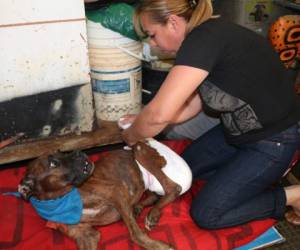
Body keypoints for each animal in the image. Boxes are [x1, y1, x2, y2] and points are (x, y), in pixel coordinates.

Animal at [17, 139, 192, 250]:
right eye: (53, 163)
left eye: (62, 152)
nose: (79, 152)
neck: (62, 198)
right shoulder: (87, 236)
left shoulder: (116, 191)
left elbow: (135, 234)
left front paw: (157, 246)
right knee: (154, 195)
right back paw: (139, 208)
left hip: (139, 149)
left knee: (173, 188)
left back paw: (152, 213)